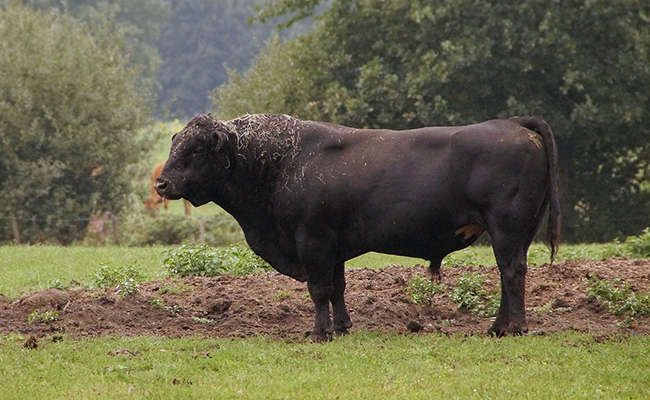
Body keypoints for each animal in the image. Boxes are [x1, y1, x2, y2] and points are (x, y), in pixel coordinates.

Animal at [153, 113, 556, 340]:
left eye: (197, 149)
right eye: (176, 144)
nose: (161, 184)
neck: (282, 162)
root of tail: (513, 123)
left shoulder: (312, 239)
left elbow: (319, 289)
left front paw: (320, 332)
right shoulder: (333, 246)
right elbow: (337, 289)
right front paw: (342, 326)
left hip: (506, 228)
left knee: (511, 272)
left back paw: (515, 327)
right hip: (515, 234)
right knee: (508, 273)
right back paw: (497, 327)